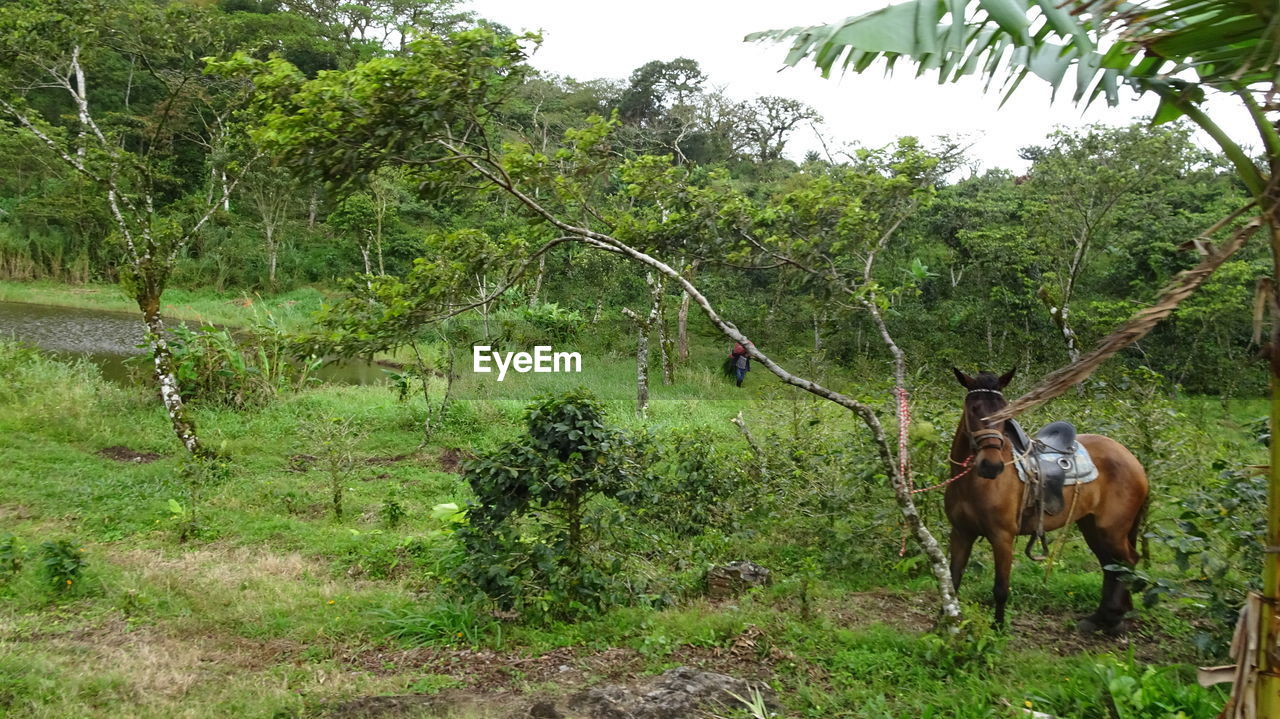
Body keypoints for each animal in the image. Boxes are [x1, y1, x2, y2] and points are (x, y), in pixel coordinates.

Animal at [947, 365, 1146, 629]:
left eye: (1005, 410)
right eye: (974, 408)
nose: (991, 466)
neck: (973, 485)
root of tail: (1132, 459)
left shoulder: (1002, 537)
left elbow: (1001, 589)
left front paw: (998, 628)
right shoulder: (961, 533)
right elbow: (952, 581)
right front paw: (944, 623)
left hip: (1112, 529)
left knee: (1127, 561)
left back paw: (1113, 616)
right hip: (1091, 526)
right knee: (1109, 564)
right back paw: (1100, 618)